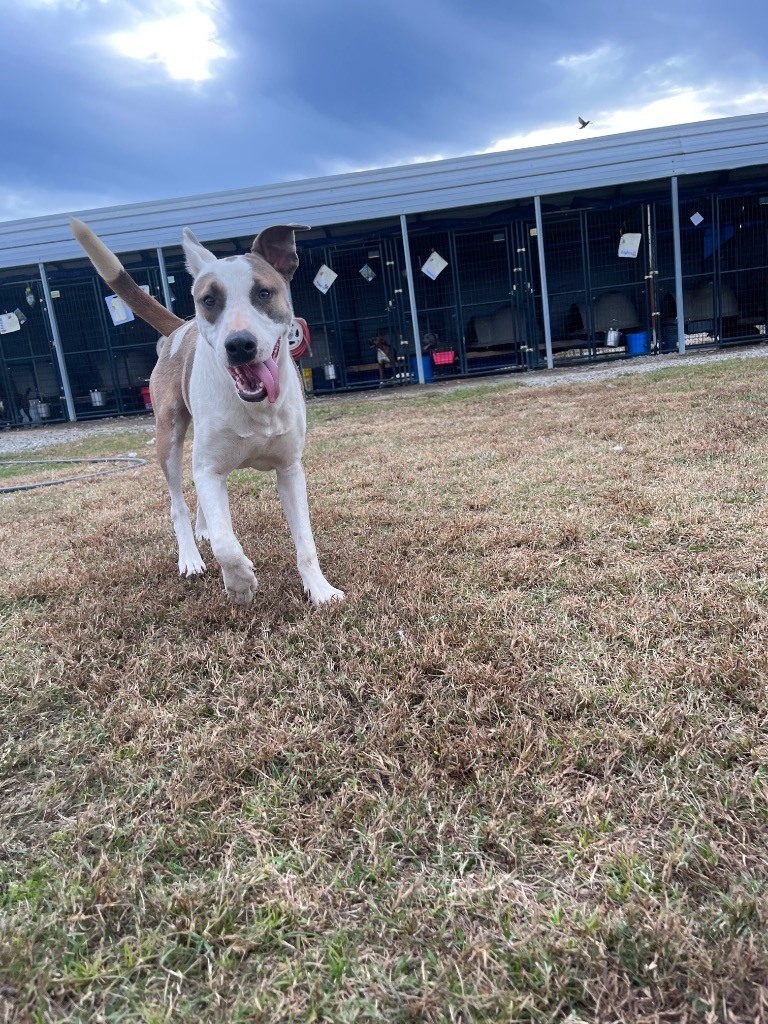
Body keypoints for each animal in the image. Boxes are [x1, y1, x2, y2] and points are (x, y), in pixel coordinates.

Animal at [69, 212, 346, 602]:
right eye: (210, 299)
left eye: (264, 293)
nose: (240, 344)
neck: (258, 408)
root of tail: (180, 327)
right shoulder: (210, 468)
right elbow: (226, 545)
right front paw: (240, 582)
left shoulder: (290, 469)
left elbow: (305, 541)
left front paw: (320, 590)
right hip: (168, 436)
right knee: (179, 503)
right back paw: (190, 556)